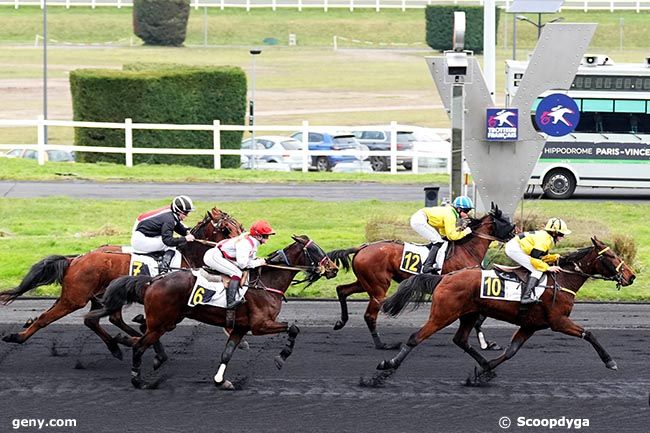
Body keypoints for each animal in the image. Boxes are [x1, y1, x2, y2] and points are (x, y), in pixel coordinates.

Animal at [0, 207, 243, 362]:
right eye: (227, 229)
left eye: (239, 225)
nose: (245, 244)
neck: (188, 254)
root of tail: (75, 260)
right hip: (74, 298)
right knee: (46, 318)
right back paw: (17, 336)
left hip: (98, 296)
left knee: (97, 320)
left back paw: (117, 345)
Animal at [85, 235, 336, 390]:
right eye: (315, 250)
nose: (333, 268)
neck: (266, 282)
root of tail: (152, 280)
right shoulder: (260, 325)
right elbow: (293, 328)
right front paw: (281, 357)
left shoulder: (240, 327)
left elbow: (227, 354)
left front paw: (220, 381)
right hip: (162, 323)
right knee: (140, 344)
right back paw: (138, 378)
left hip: (169, 320)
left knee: (139, 334)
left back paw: (124, 342)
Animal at [326, 204, 512, 350]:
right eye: (506, 222)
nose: (516, 233)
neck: (467, 249)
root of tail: (362, 248)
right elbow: (478, 318)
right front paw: (485, 344)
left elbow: (478, 317)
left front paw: (487, 344)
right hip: (378, 287)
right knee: (370, 315)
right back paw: (383, 345)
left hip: (365, 283)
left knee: (342, 290)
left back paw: (340, 322)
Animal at [364, 238, 632, 386]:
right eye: (611, 255)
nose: (631, 276)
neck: (563, 280)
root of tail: (444, 277)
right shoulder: (558, 321)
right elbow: (589, 334)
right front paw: (610, 361)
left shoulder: (531, 325)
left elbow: (511, 351)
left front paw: (482, 372)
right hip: (443, 314)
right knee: (415, 338)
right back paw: (385, 367)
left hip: (469, 314)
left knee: (460, 340)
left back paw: (484, 366)